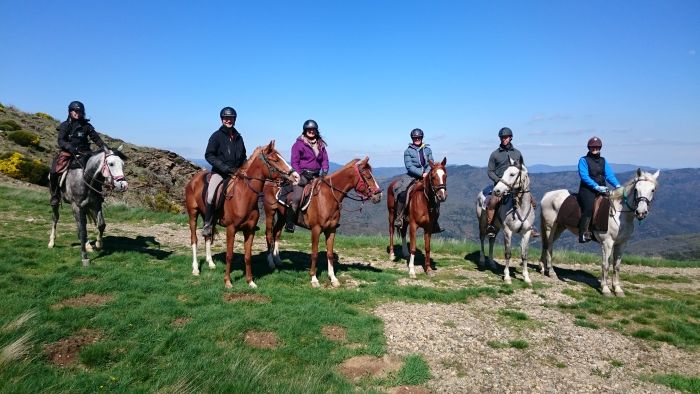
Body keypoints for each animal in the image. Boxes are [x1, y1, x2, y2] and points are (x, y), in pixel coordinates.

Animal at [185, 140, 296, 288]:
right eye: (275, 159)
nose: (295, 176)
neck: (243, 195)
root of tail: (194, 179)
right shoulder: (231, 229)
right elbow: (229, 255)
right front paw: (227, 281)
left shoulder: (249, 230)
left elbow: (247, 256)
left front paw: (250, 281)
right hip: (193, 213)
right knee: (194, 239)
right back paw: (196, 268)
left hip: (207, 217)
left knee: (207, 235)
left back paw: (211, 263)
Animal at [264, 158, 382, 290]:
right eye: (368, 176)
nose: (379, 195)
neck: (327, 197)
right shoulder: (316, 229)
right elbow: (314, 253)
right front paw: (314, 279)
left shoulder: (331, 230)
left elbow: (329, 254)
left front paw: (333, 278)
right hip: (270, 213)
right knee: (269, 234)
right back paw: (271, 262)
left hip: (282, 217)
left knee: (276, 233)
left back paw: (277, 259)